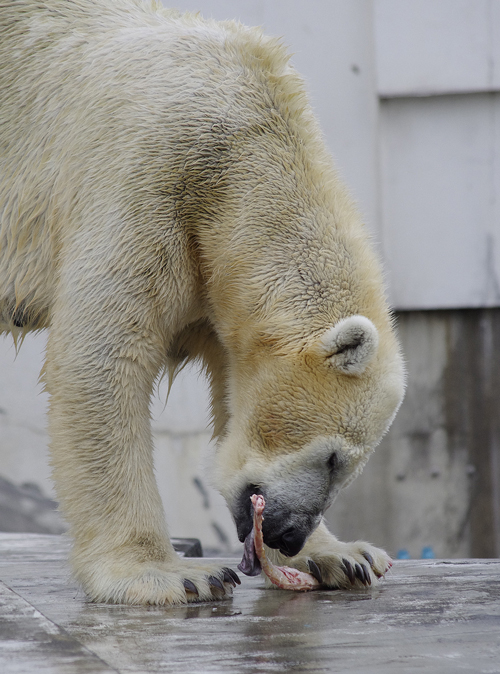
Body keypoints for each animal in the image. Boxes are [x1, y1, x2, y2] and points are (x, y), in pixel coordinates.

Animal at [0, 0, 404, 600]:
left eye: (347, 466)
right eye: (333, 458)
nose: (286, 534)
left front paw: (344, 555)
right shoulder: (146, 174)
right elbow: (103, 358)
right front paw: (171, 573)